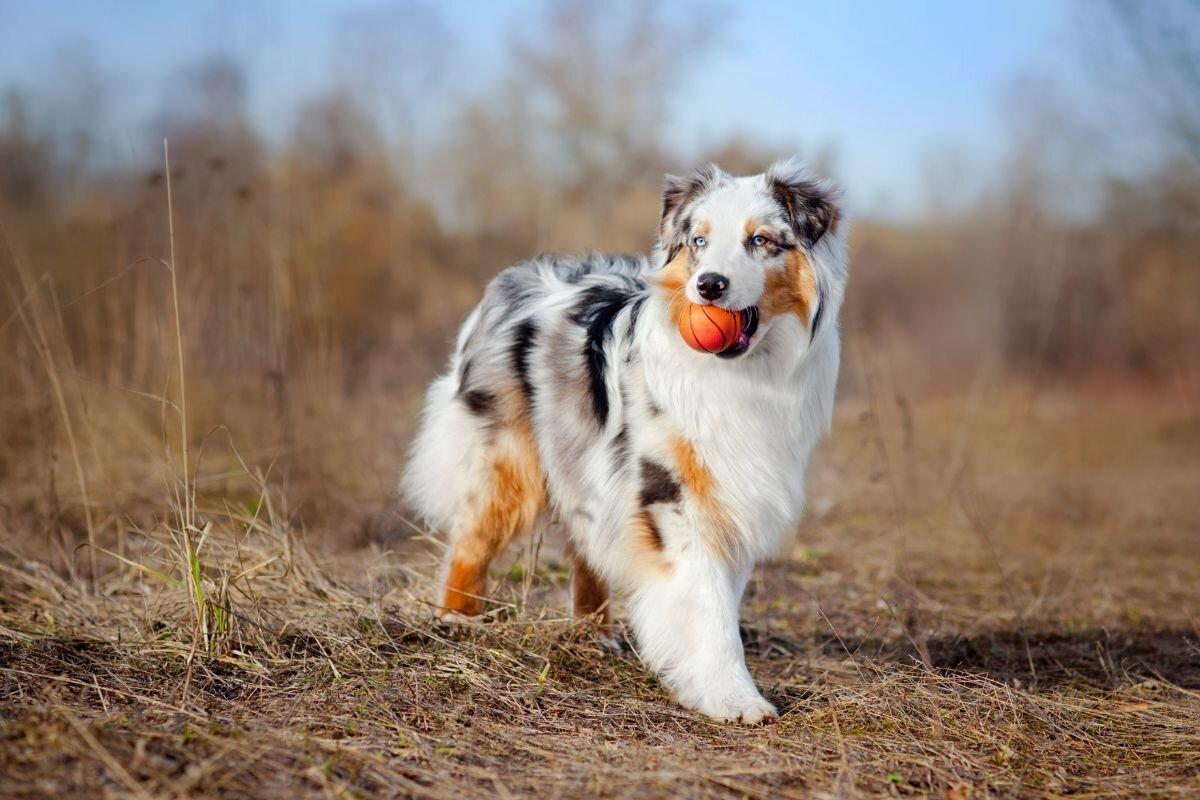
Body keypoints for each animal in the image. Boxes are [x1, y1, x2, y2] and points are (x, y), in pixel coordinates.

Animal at [408, 159, 849, 724]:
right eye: (699, 240)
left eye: (761, 240)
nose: (709, 286)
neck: (743, 374)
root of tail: (512, 277)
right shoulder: (672, 495)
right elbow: (708, 605)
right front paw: (734, 698)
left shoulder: (733, 493)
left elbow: (720, 599)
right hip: (508, 461)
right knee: (472, 540)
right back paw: (456, 620)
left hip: (585, 465)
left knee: (585, 547)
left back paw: (594, 635)